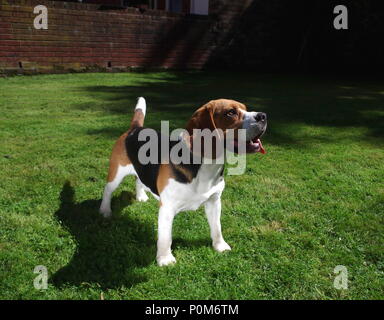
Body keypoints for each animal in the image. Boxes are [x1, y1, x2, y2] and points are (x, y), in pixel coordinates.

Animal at [99, 97, 268, 264]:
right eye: (231, 112)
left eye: (245, 108)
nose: (263, 116)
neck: (206, 165)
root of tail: (135, 129)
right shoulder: (167, 208)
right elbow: (165, 238)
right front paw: (165, 260)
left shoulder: (214, 201)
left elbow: (217, 228)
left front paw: (220, 246)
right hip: (116, 174)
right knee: (107, 190)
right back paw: (105, 210)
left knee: (139, 179)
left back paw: (141, 197)